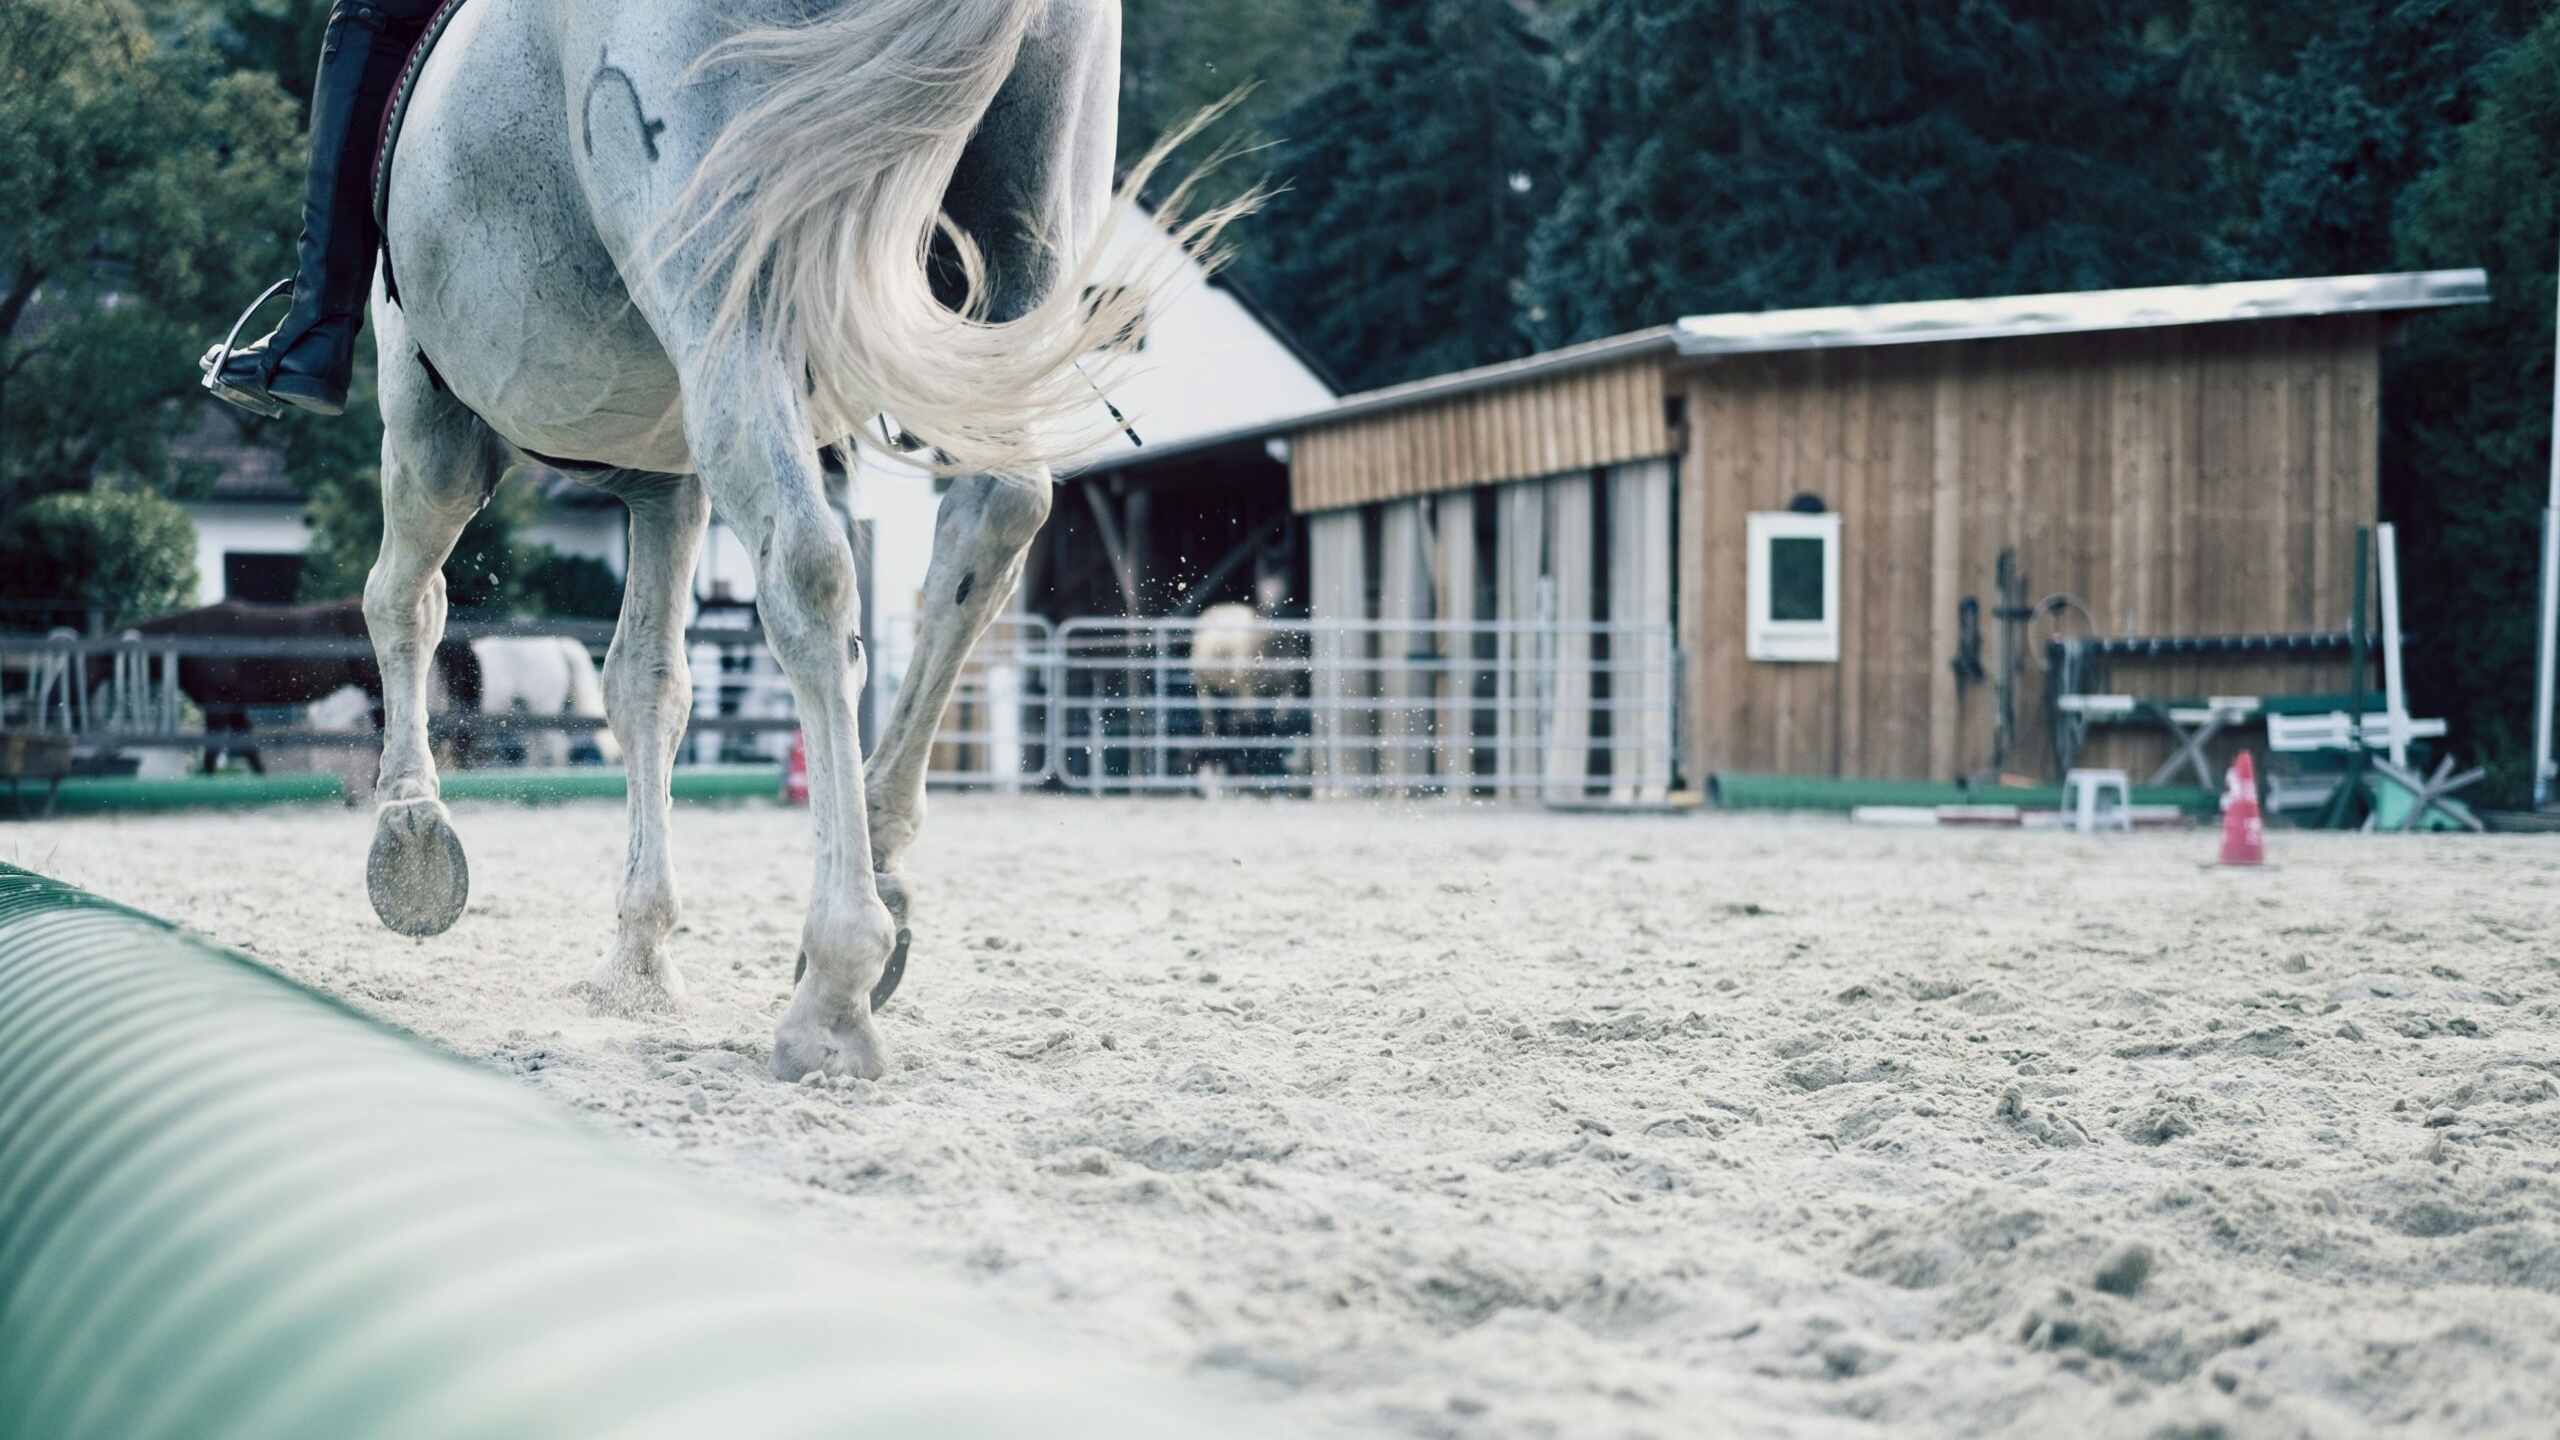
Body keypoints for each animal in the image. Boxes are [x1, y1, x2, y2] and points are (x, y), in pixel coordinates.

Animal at [360, 0, 1228, 1076]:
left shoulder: (436, 407)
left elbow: (417, 604)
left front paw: (410, 834)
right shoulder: (666, 476)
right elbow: (648, 686)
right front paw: (639, 955)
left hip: (706, 313)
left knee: (805, 571)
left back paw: (836, 981)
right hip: (1021, 240)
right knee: (994, 514)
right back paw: (882, 874)